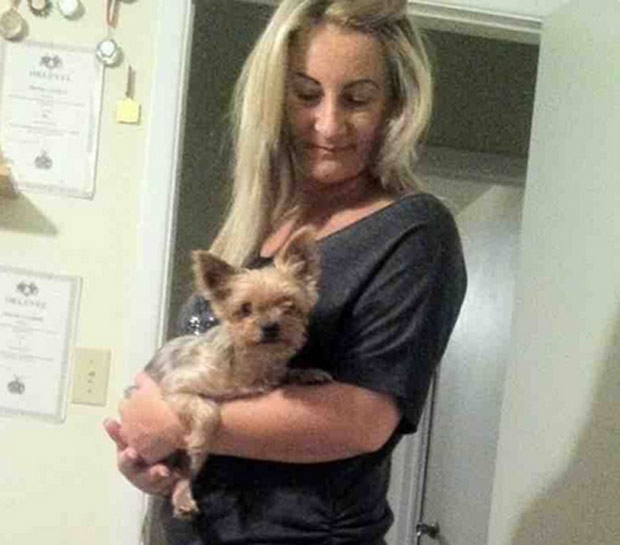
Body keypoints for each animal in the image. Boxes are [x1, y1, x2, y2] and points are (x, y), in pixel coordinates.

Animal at [141, 228, 329, 519]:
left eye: (288, 305)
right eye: (245, 309)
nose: (270, 326)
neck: (251, 362)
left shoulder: (271, 374)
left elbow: (284, 373)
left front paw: (307, 373)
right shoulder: (177, 385)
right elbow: (208, 410)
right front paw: (200, 437)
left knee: (184, 474)